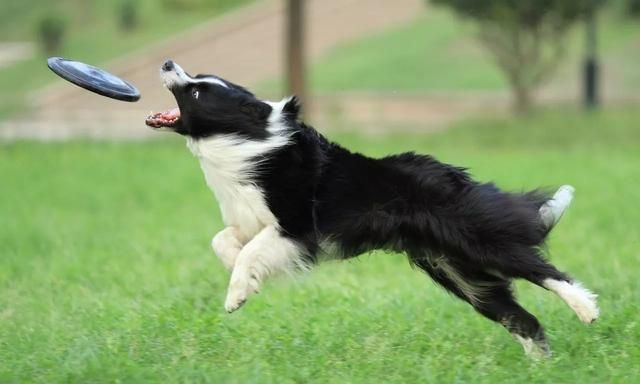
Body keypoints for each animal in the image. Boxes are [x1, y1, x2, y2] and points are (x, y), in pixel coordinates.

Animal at [148, 60, 596, 356]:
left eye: (197, 91)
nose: (168, 62)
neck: (244, 143)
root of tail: (457, 177)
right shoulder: (251, 220)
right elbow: (223, 240)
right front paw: (240, 274)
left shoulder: (296, 228)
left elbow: (252, 251)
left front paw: (237, 294)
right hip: (459, 272)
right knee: (521, 318)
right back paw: (540, 366)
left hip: (476, 241)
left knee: (543, 270)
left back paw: (586, 308)